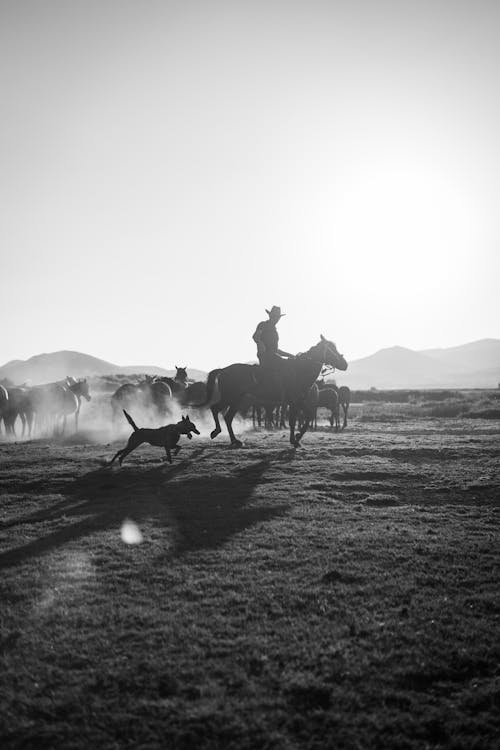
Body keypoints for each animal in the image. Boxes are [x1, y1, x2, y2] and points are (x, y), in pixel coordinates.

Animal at [204, 338, 348, 450]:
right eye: (332, 349)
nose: (345, 364)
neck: (300, 371)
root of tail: (223, 370)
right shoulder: (294, 402)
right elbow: (294, 421)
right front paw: (294, 440)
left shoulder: (300, 403)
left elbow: (306, 419)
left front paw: (297, 437)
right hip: (230, 398)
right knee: (216, 409)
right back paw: (217, 432)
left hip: (237, 400)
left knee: (227, 417)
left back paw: (235, 441)